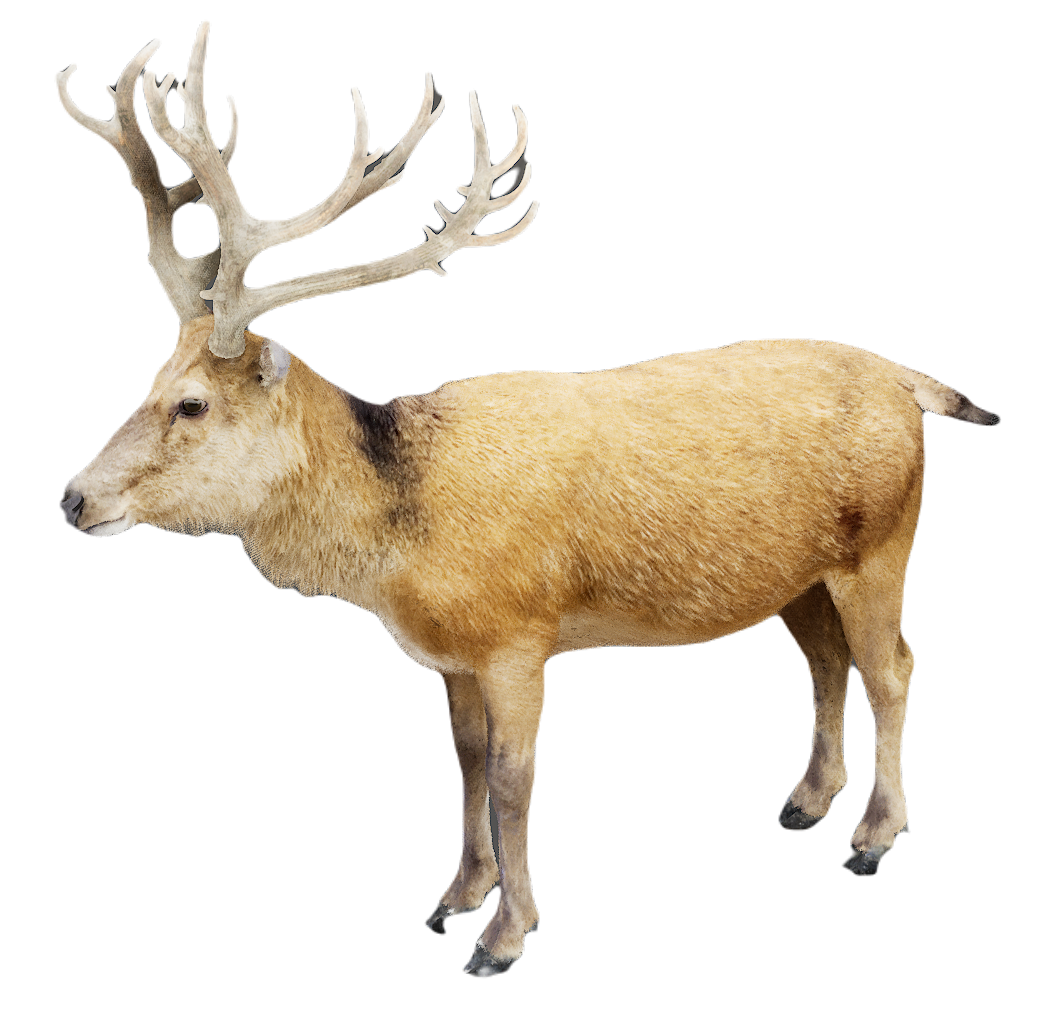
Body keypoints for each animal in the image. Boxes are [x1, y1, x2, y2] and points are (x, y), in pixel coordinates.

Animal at [56, 21, 1000, 978]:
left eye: (192, 404)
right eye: (148, 381)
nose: (72, 498)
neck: (406, 541)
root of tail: (906, 382)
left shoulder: (520, 633)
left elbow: (515, 777)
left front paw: (505, 935)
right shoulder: (448, 653)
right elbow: (467, 761)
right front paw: (454, 898)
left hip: (884, 541)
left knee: (893, 666)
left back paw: (873, 837)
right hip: (799, 576)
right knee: (826, 661)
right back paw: (808, 801)